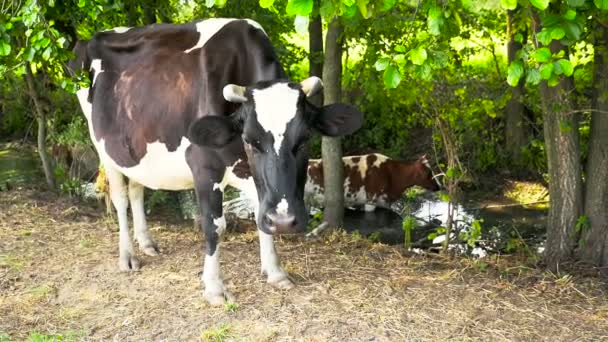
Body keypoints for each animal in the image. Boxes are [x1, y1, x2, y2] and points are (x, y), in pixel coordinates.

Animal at [73, 18, 364, 304]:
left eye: (304, 139)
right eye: (250, 140)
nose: (284, 221)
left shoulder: (255, 178)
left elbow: (261, 218)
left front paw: (275, 271)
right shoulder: (204, 168)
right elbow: (214, 226)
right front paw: (214, 287)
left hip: (138, 154)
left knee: (136, 190)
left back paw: (147, 243)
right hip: (103, 148)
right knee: (121, 199)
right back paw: (127, 256)